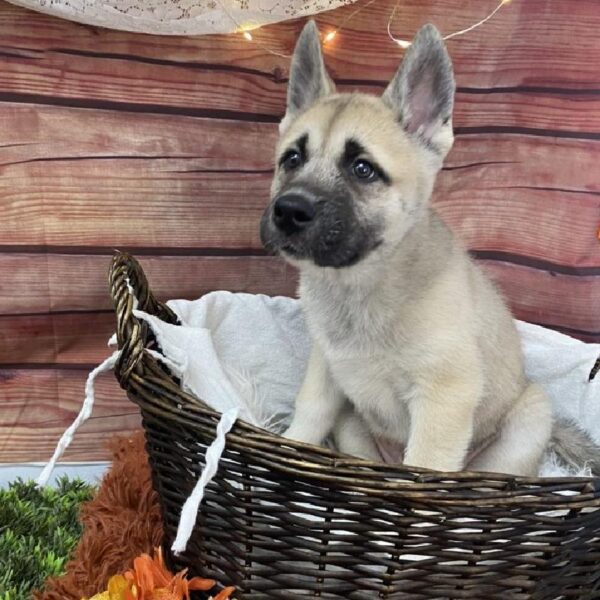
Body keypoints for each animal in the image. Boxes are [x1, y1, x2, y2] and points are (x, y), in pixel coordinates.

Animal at [260, 19, 596, 478]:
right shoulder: (326, 373)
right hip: (353, 427)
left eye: (363, 169)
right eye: (292, 159)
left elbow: (424, 466)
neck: (361, 284)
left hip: (529, 419)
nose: (289, 211)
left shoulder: (444, 398)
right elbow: (309, 417)